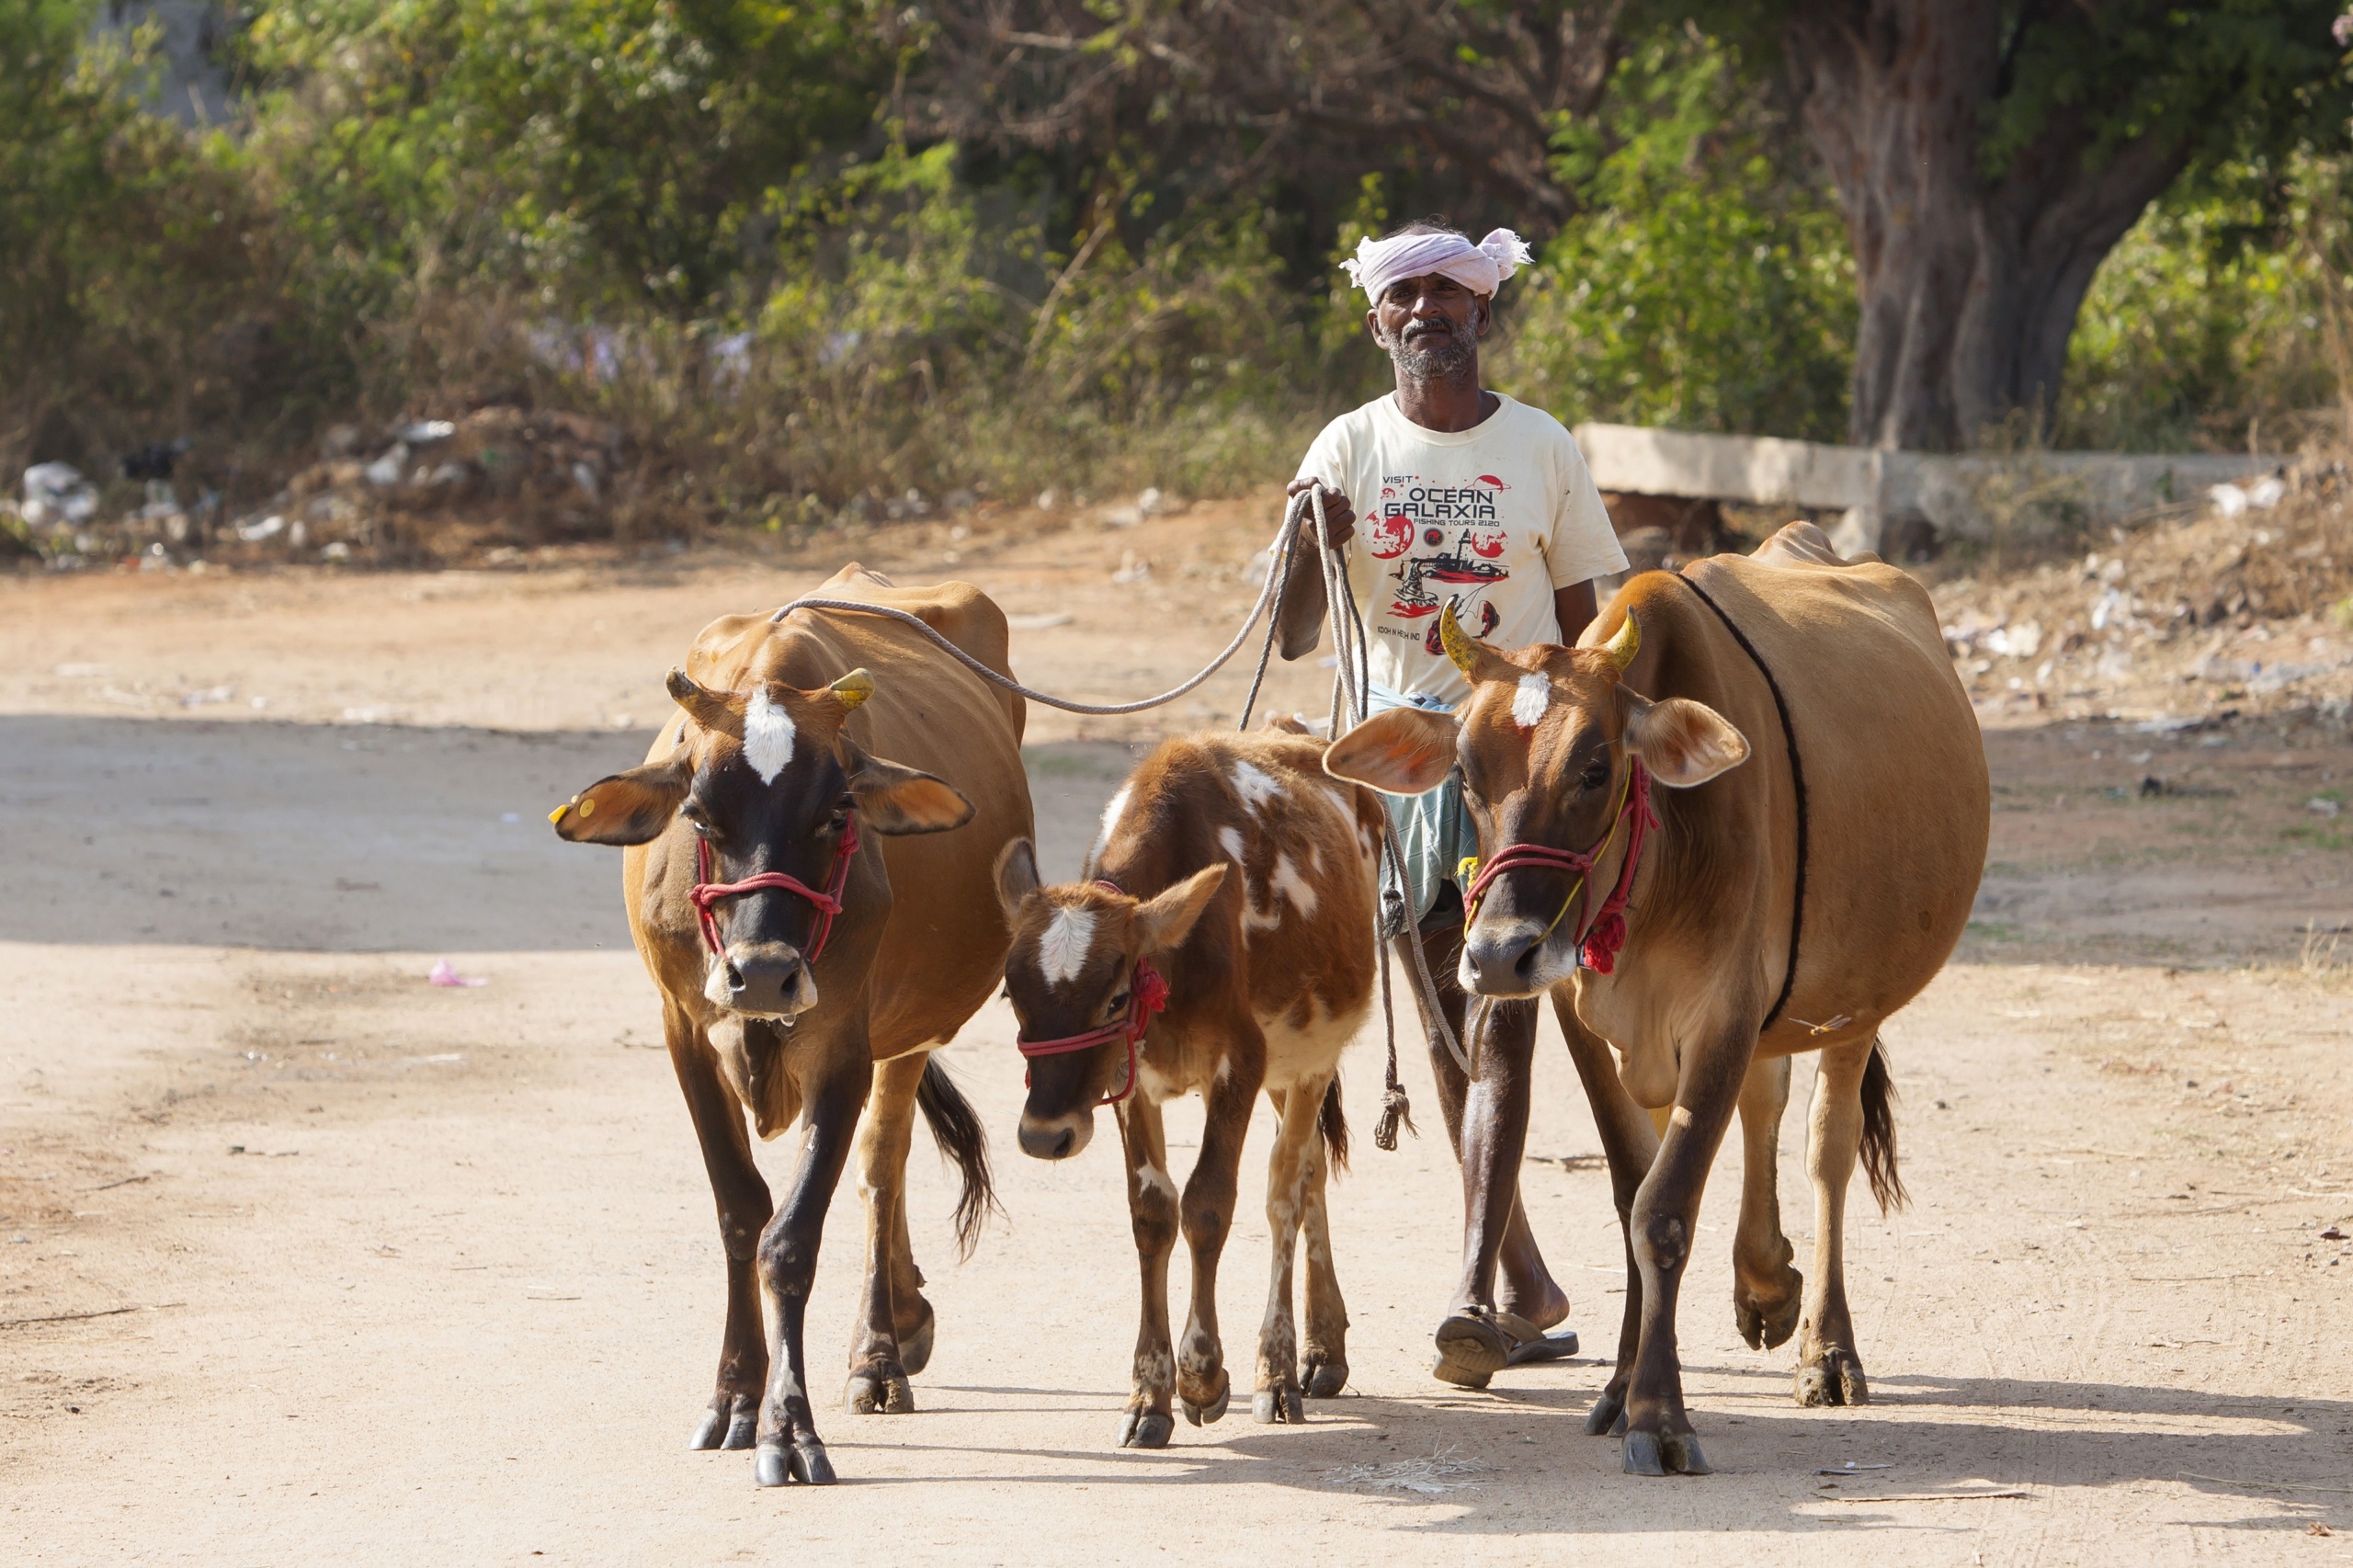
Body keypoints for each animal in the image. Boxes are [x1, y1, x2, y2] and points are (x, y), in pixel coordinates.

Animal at [555, 562, 1035, 1478]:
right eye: (699, 815)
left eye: (838, 813)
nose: (766, 976)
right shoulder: (683, 1031)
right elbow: (741, 1213)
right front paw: (735, 1398)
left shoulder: (843, 1043)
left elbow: (792, 1237)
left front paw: (789, 1425)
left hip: (906, 1034)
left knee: (883, 1167)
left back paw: (881, 1349)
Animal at [988, 724, 1383, 1449]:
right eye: (1011, 994)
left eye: (1115, 998)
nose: (1044, 1134)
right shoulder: (1130, 1081)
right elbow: (1152, 1212)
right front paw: (1150, 1391)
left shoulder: (1241, 1063)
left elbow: (1206, 1204)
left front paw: (1203, 1374)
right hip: (1287, 1071)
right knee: (1311, 1171)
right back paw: (1323, 1348)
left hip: (1311, 1056)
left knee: (1286, 1189)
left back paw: (1278, 1368)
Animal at [1326, 522, 1985, 1469]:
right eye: (1466, 774)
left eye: (1598, 769)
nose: (1497, 953)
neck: (1658, 864)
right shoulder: (1586, 1017)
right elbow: (1631, 1190)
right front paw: (1618, 1389)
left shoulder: (1724, 1011)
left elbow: (1665, 1211)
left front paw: (1660, 1415)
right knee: (1764, 1101)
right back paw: (1765, 1283)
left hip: (1858, 1003)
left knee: (1827, 1148)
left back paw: (1826, 1346)